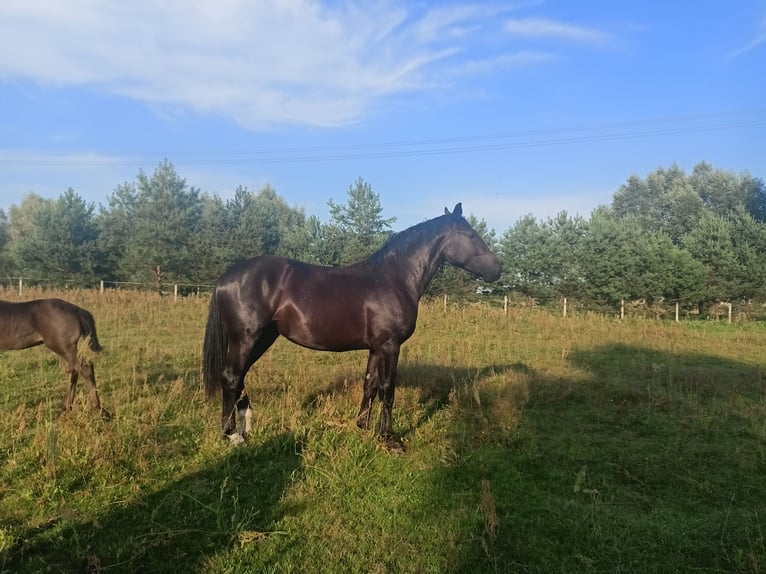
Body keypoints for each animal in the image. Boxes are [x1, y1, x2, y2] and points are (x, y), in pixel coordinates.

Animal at [204, 204, 504, 450]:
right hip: (246, 338)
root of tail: (226, 278)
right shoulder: (390, 346)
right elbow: (387, 390)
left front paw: (363, 427)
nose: (497, 269)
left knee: (239, 377)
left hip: (263, 338)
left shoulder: (376, 348)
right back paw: (233, 435)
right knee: (231, 377)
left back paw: (245, 426)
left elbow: (369, 385)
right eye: (471, 235)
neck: (394, 278)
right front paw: (389, 439)